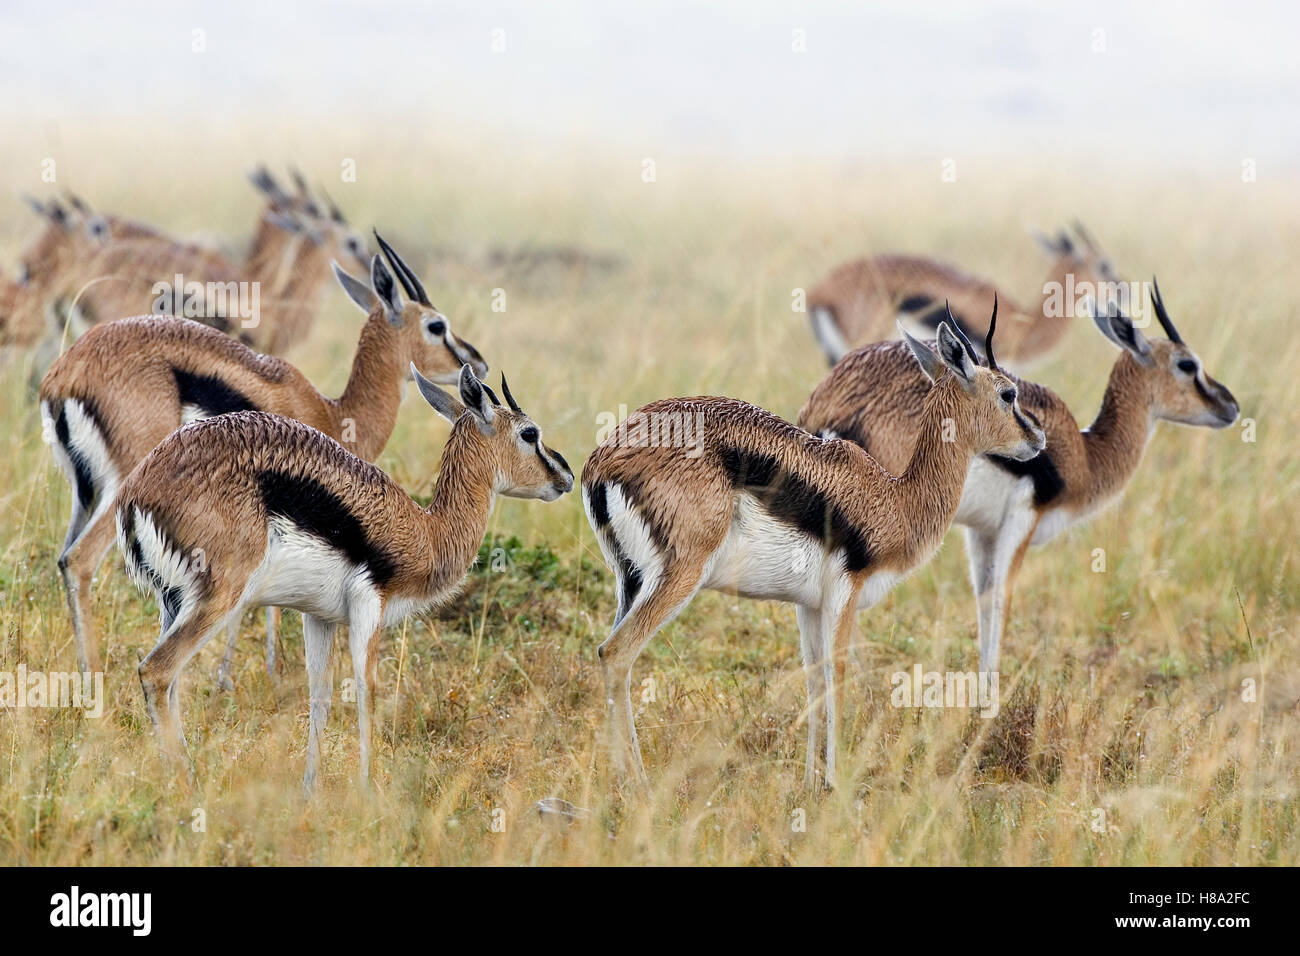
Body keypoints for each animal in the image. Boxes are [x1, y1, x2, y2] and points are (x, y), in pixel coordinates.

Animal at [40, 235, 487, 678]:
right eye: (436, 325)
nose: (477, 362)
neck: (333, 412)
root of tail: (65, 374)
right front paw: (258, 671)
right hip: (122, 488)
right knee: (79, 560)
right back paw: (93, 672)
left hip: (87, 494)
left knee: (65, 558)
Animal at [116, 363, 573, 792]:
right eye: (529, 433)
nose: (565, 477)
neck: (425, 532)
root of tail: (137, 491)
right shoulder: (369, 608)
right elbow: (366, 692)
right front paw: (368, 791)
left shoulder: (318, 617)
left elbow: (320, 696)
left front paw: (309, 792)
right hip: (218, 600)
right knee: (156, 671)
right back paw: (186, 782)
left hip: (173, 603)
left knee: (172, 684)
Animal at [582, 307, 1045, 789]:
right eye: (1008, 393)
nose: (1038, 438)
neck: (895, 498)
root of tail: (602, 461)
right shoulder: (846, 593)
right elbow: (836, 675)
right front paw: (836, 784)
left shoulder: (809, 605)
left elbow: (813, 683)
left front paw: (810, 782)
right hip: (678, 577)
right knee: (615, 654)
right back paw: (637, 783)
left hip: (630, 583)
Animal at [798, 280, 1239, 673]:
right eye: (1187, 364)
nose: (1230, 405)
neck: (1083, 456)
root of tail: (830, 401)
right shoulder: (1022, 520)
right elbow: (1001, 600)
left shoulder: (982, 532)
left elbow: (983, 598)